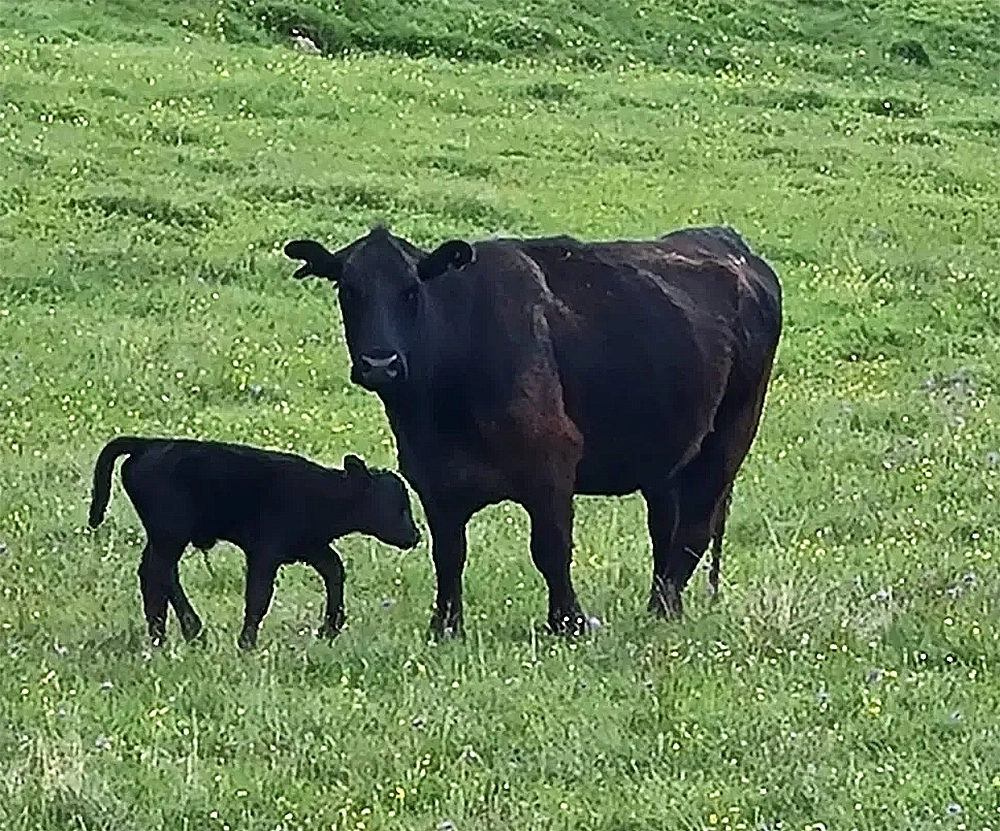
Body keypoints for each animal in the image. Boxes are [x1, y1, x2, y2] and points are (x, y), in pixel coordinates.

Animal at [88, 436, 420, 648]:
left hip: (164, 535)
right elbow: (259, 596)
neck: (320, 493)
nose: (414, 536)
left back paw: (172, 632)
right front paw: (247, 642)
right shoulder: (265, 552)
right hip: (170, 533)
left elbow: (335, 571)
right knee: (157, 572)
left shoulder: (311, 548)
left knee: (157, 573)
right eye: (394, 504)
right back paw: (180, 633)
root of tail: (150, 444)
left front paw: (329, 628)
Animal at [284, 223, 780, 636]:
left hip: (729, 437)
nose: (380, 363)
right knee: (666, 528)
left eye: (411, 292)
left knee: (695, 528)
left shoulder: (552, 465)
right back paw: (662, 607)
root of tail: (729, 243)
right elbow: (449, 555)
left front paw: (568, 623)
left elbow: (551, 550)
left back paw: (661, 611)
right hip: (666, 453)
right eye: (349, 291)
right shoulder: (433, 478)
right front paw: (445, 627)